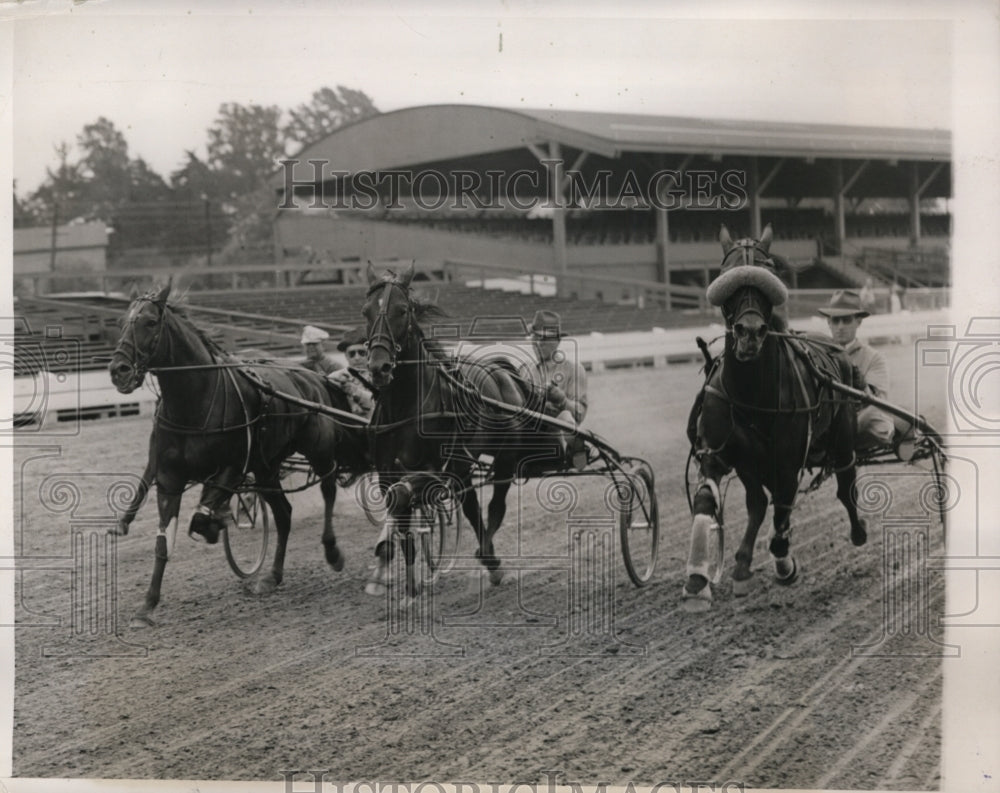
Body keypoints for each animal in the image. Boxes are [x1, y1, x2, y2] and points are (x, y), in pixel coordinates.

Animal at [364, 262, 544, 596]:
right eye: (365, 311)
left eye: (402, 310)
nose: (378, 367)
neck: (406, 407)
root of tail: (500, 370)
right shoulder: (386, 473)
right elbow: (399, 510)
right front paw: (410, 585)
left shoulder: (438, 469)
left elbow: (406, 495)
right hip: (464, 464)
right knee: (472, 506)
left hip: (504, 457)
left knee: (493, 506)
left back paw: (491, 560)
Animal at [680, 226, 868, 608]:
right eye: (726, 274)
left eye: (769, 271)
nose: (750, 332)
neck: (751, 392)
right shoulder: (719, 451)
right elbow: (709, 499)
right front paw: (697, 580)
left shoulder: (788, 457)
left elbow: (784, 507)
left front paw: (784, 564)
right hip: (752, 462)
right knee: (758, 503)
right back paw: (741, 565)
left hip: (842, 438)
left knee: (844, 485)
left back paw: (857, 531)